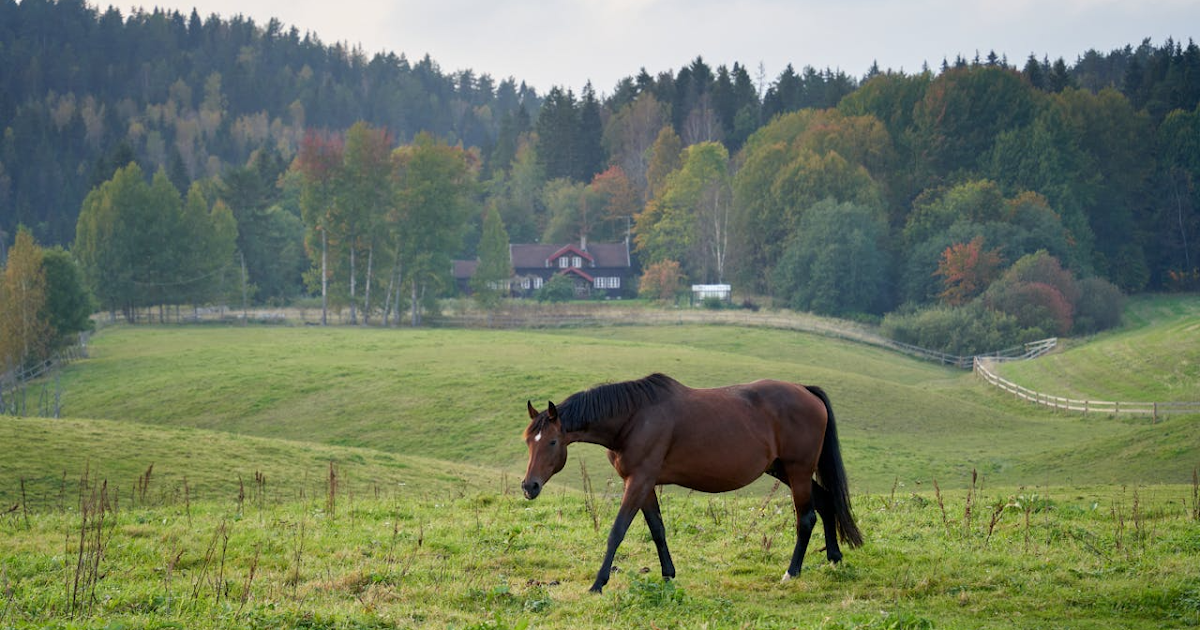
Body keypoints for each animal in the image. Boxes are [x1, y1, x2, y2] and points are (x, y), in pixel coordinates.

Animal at [521, 372, 862, 593]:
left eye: (552, 442)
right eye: (528, 441)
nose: (529, 486)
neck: (634, 418)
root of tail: (806, 391)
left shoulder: (639, 481)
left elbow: (617, 532)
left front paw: (597, 584)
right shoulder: (645, 484)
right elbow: (657, 530)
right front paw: (668, 575)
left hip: (798, 470)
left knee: (806, 518)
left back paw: (791, 573)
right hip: (783, 470)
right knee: (826, 501)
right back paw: (834, 558)